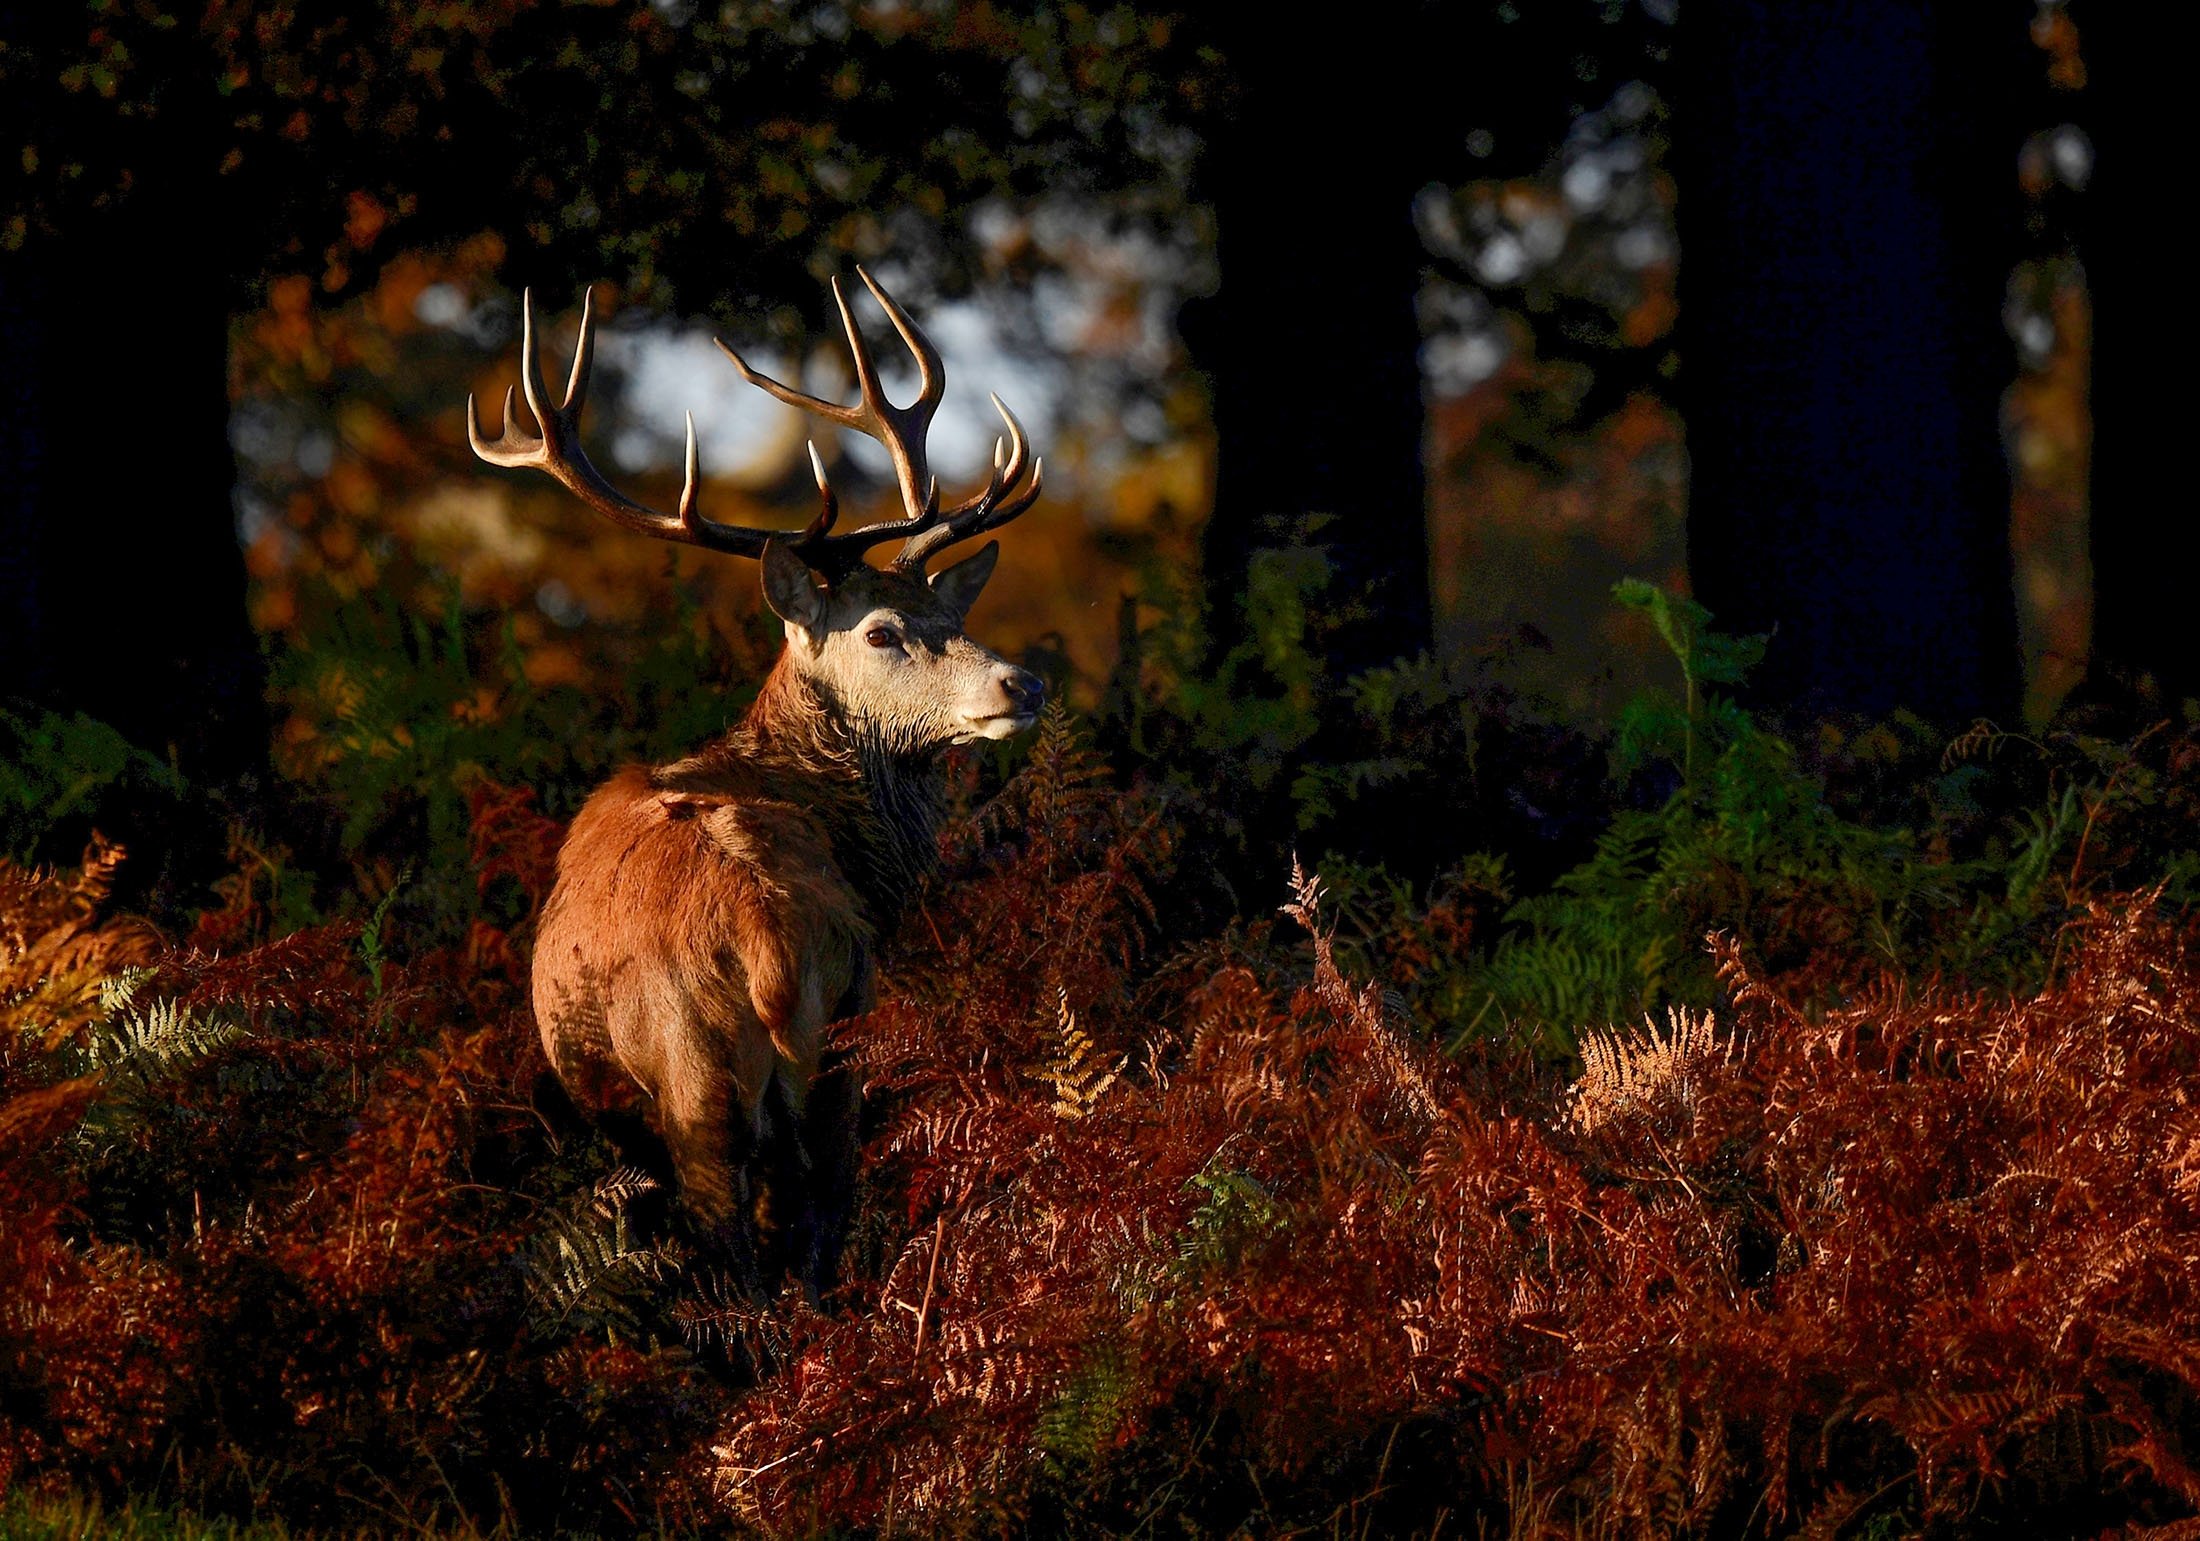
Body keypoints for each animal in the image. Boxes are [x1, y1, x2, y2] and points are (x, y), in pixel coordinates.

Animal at [467, 270, 1045, 1287]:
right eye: (882, 630)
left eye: (951, 611)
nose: (1022, 683)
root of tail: (765, 941)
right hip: (828, 1044)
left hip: (707, 1070)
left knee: (752, 1240)